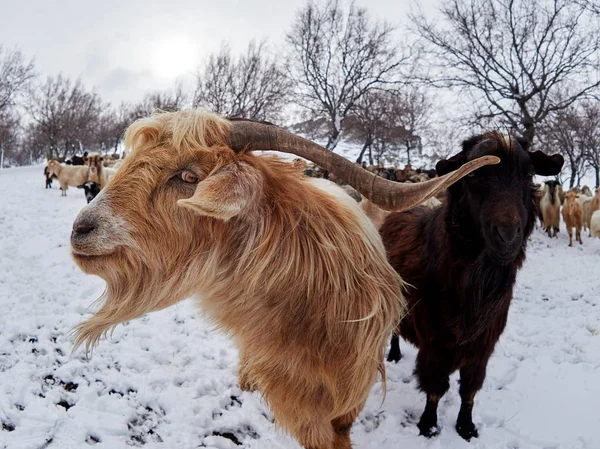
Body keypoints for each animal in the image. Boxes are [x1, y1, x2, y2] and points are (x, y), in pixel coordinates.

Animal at [380, 133, 564, 440]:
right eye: (474, 174)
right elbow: (436, 387)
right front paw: (428, 425)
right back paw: (393, 355)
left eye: (528, 175)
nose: (507, 236)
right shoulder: (436, 343)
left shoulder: (482, 346)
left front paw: (466, 427)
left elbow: (469, 389)